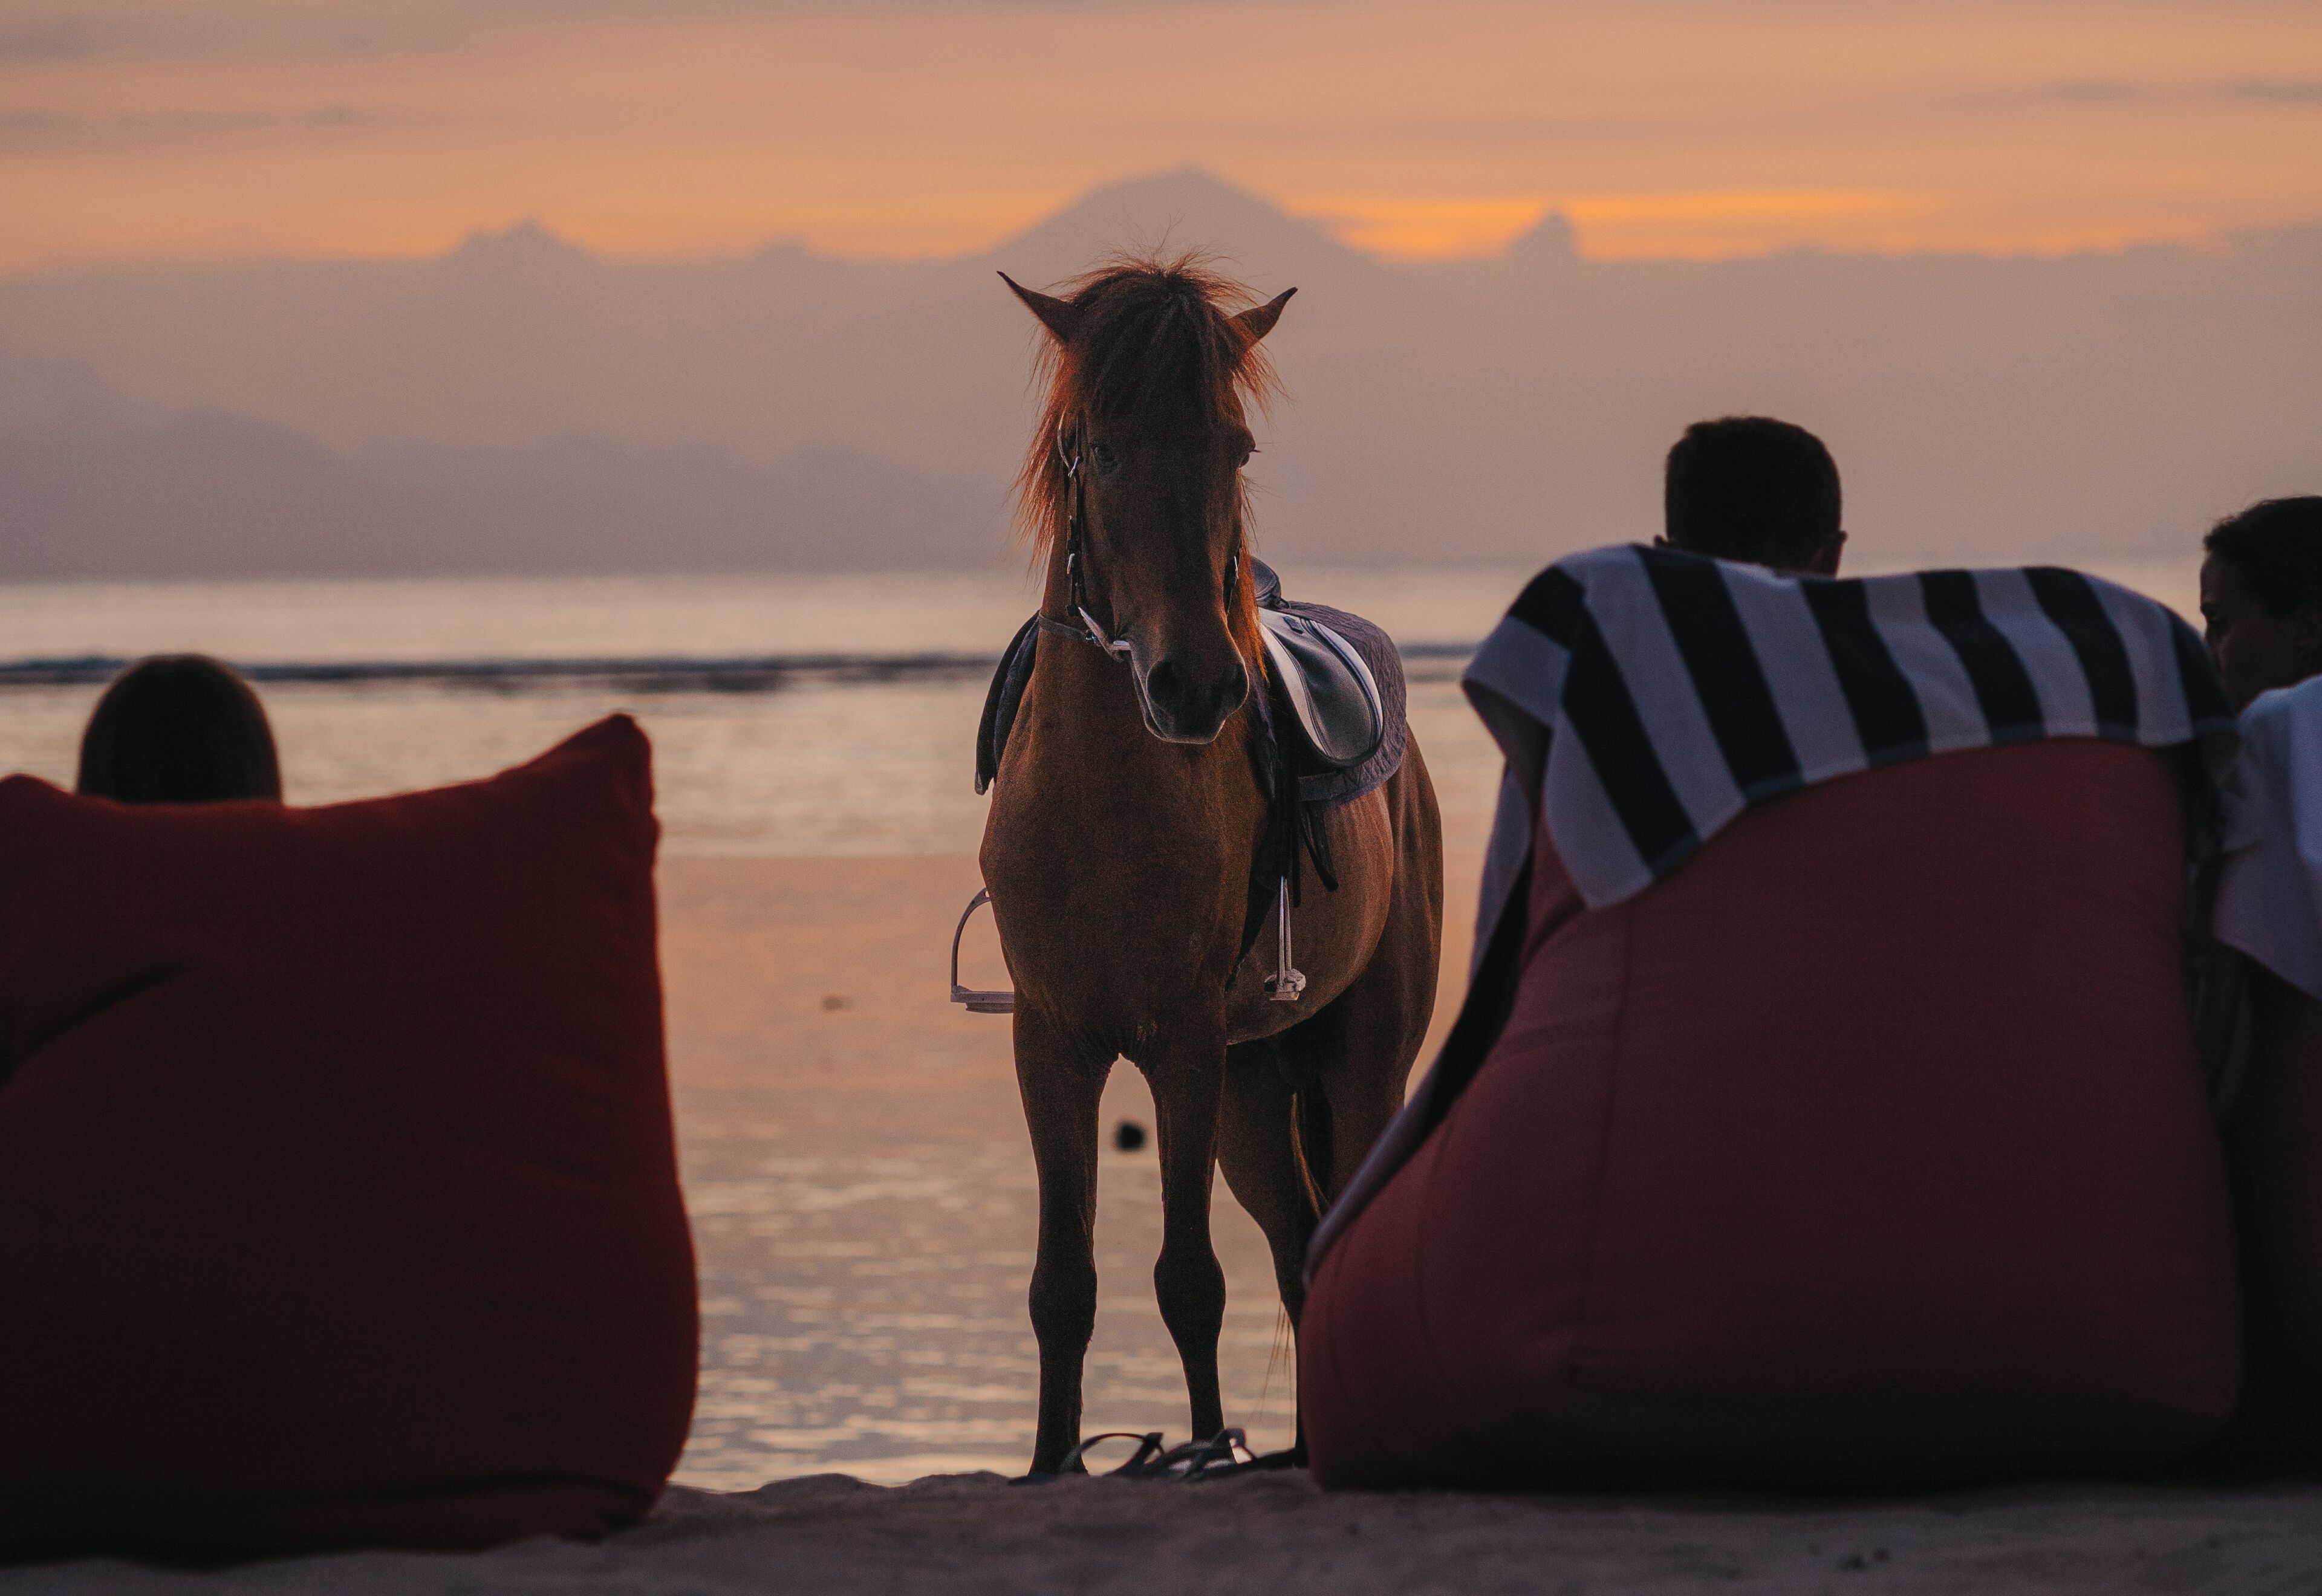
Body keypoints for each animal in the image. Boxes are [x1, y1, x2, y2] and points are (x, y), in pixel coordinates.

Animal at [982, 255, 1444, 1475]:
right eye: (1100, 448)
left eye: (1236, 449)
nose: (1196, 685)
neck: (1101, 805)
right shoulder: (1052, 1042)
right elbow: (1063, 1286)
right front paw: (1054, 1464)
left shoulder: (1181, 1044)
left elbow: (1188, 1283)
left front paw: (1197, 1453)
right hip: (1253, 1097)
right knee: (1299, 1251)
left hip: (1357, 1065)